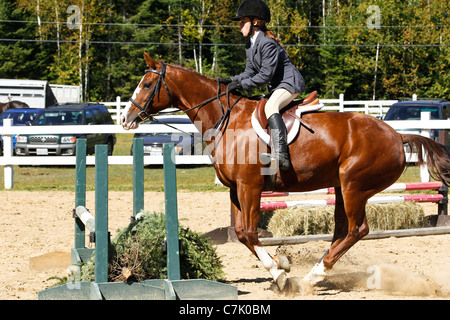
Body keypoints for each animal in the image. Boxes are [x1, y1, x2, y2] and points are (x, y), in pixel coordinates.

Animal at [120, 52, 450, 292]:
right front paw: (282, 264)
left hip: (354, 185)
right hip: (341, 188)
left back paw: (313, 276)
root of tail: (396, 135)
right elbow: (240, 233)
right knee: (342, 231)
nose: (126, 118)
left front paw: (280, 275)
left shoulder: (250, 186)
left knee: (358, 230)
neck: (226, 119)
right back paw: (317, 273)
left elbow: (249, 232)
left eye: (147, 85)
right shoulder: (235, 188)